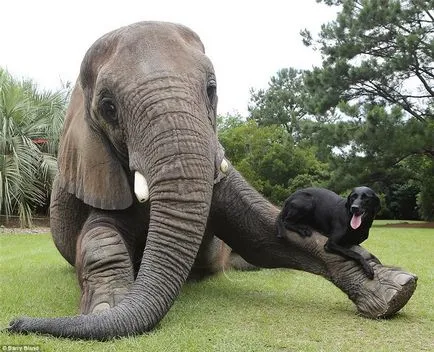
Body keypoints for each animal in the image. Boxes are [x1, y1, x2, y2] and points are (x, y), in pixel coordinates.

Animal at [5, 20, 414, 340]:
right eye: (108, 107)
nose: (14, 323)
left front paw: (395, 290)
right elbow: (98, 237)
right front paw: (106, 311)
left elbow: (263, 232)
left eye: (211, 89)